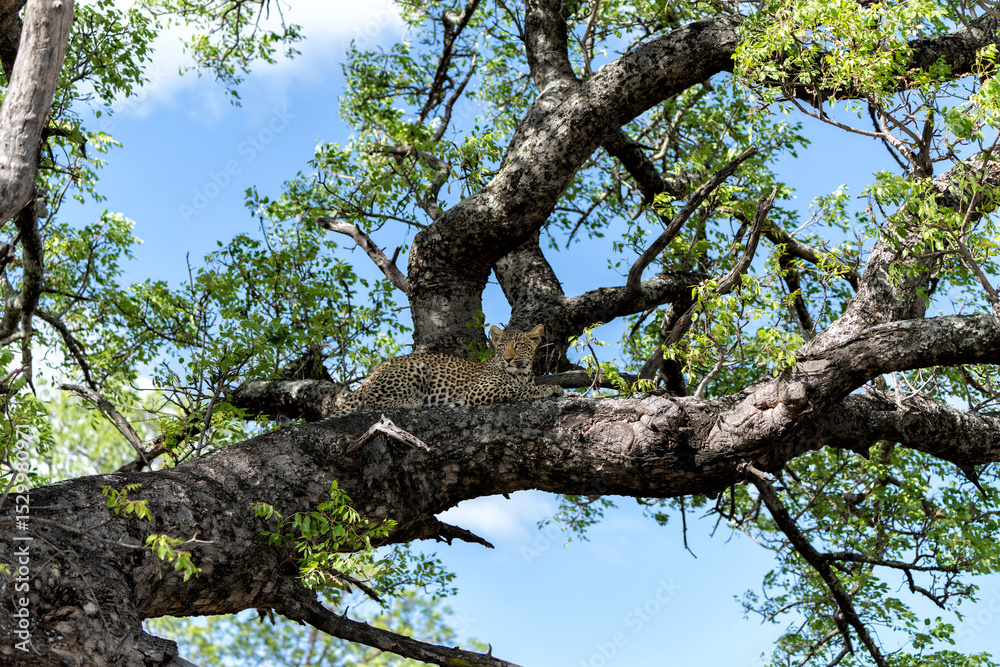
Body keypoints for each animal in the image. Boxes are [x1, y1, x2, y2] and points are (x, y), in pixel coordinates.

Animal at [333, 324, 563, 414]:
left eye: (519, 346)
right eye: (501, 347)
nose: (507, 359)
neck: (522, 372)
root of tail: (376, 369)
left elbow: (519, 387)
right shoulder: (480, 390)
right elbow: (517, 389)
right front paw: (549, 388)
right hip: (415, 368)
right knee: (371, 400)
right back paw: (413, 401)